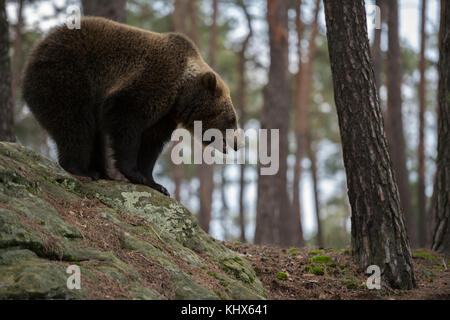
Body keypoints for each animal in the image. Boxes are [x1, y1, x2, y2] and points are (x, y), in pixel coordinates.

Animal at [22, 18, 239, 198]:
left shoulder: (164, 114)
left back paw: (102, 172)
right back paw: (83, 170)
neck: (181, 92)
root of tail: (37, 48)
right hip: (67, 76)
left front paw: (156, 183)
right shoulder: (152, 83)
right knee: (75, 123)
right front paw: (134, 173)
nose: (238, 144)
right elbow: (125, 120)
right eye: (232, 119)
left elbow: (151, 143)